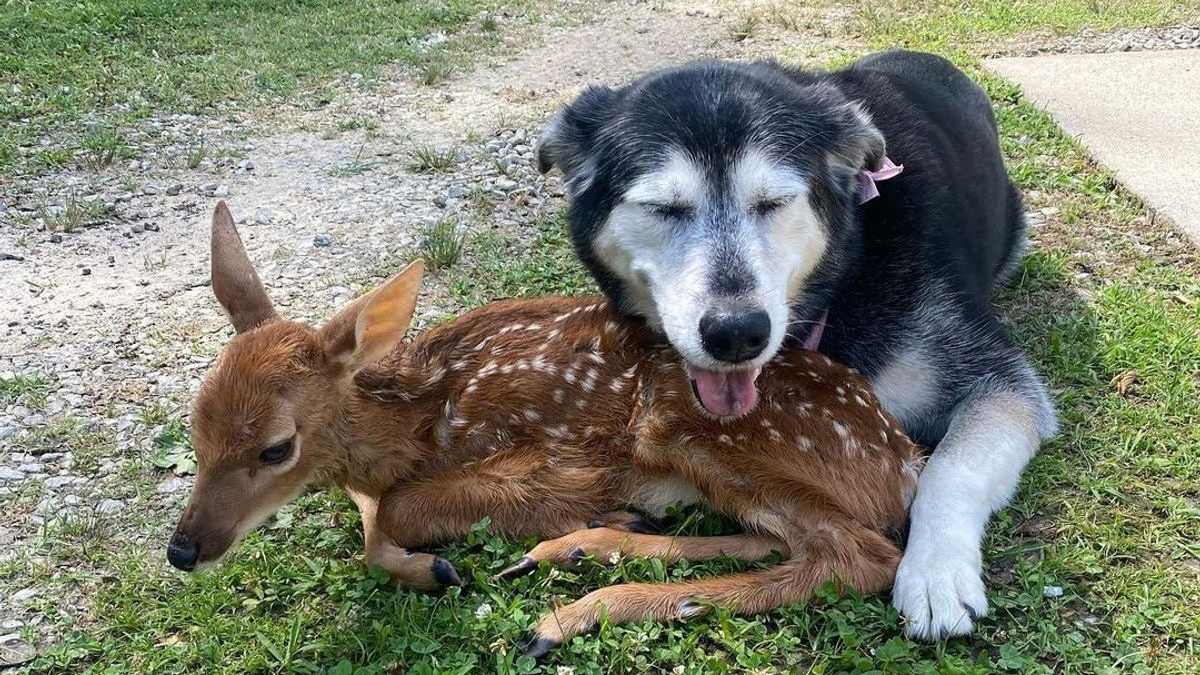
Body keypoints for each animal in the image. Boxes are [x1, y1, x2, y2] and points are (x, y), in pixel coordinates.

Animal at [540, 51, 1056, 634]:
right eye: (663, 208)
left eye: (774, 202)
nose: (736, 333)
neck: (846, 272)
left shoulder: (999, 382)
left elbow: (951, 467)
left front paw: (935, 574)